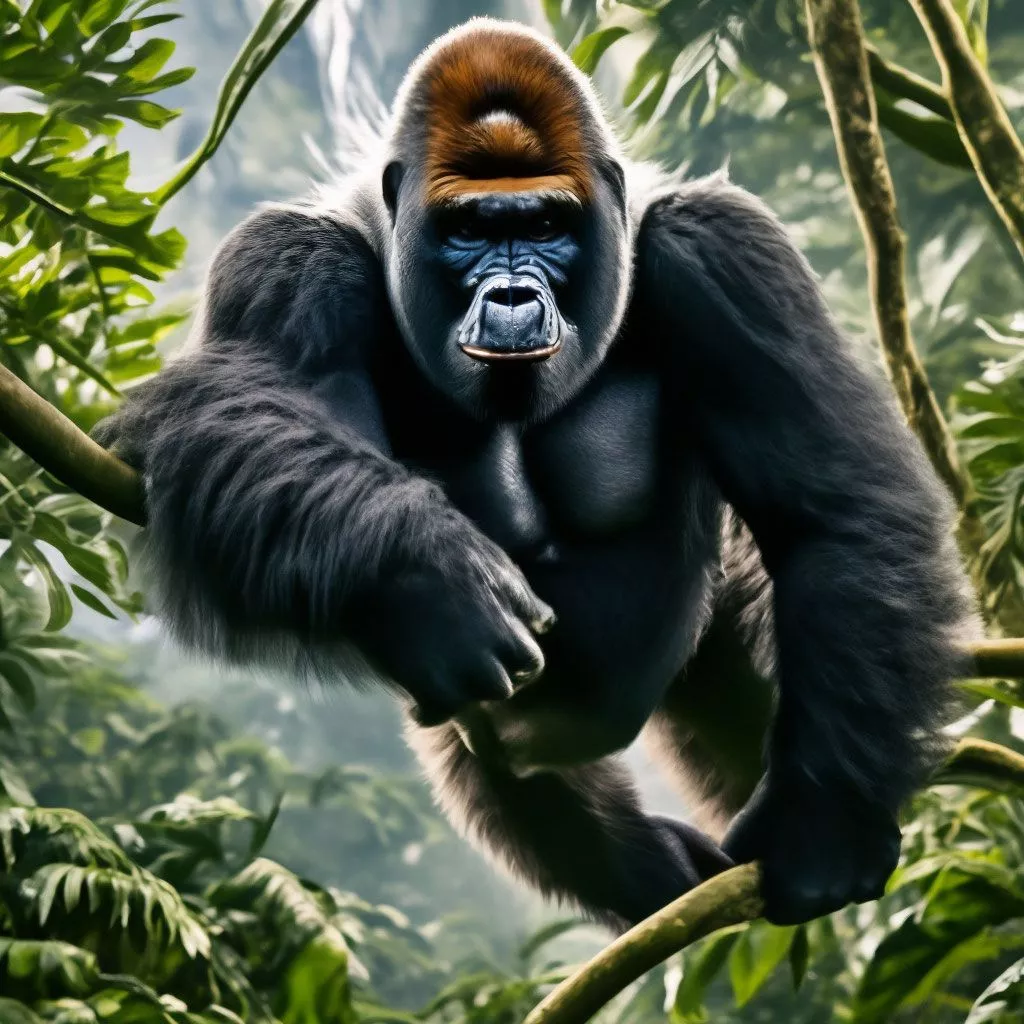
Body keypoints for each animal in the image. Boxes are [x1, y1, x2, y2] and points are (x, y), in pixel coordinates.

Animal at [96, 19, 977, 931]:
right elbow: (238, 423)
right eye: (471, 231)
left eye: (547, 224)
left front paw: (824, 820)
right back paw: (648, 868)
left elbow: (829, 514)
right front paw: (426, 574)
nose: (513, 297)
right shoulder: (292, 260)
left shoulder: (724, 252)